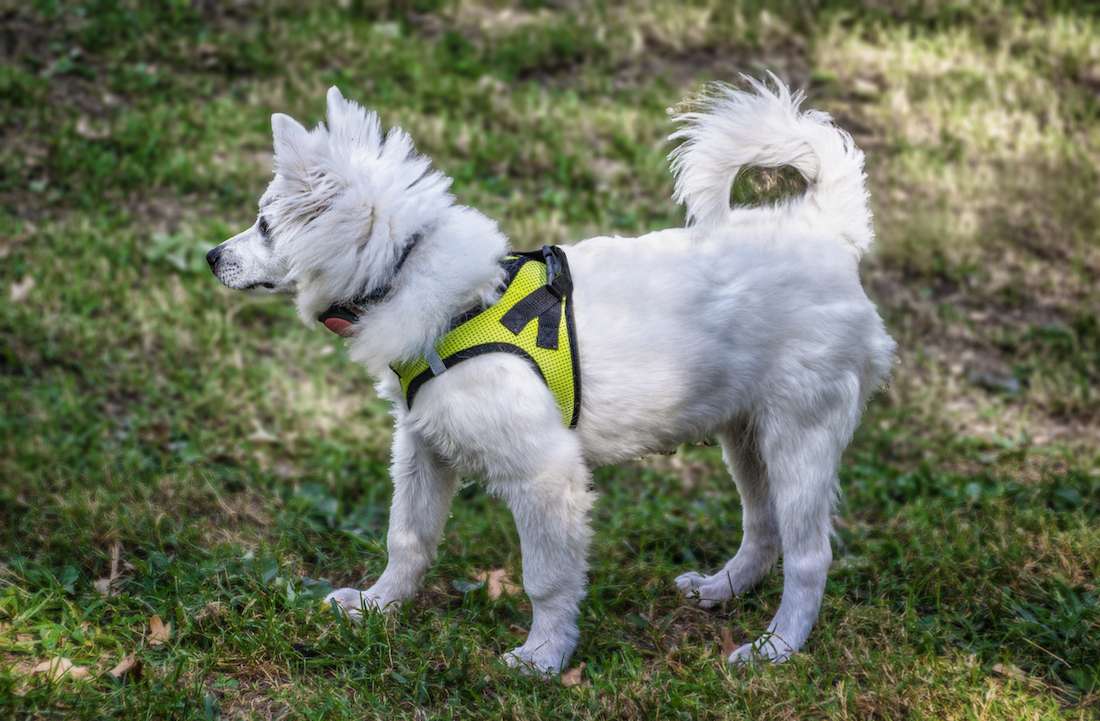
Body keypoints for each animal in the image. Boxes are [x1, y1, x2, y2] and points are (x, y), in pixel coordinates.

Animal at [210, 75, 897, 673]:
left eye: (265, 225)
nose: (211, 256)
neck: (415, 275)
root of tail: (824, 229)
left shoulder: (545, 475)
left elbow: (546, 579)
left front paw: (542, 657)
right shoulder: (421, 449)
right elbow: (406, 538)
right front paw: (378, 606)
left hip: (799, 437)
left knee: (808, 555)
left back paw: (776, 647)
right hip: (746, 434)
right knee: (763, 527)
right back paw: (722, 589)